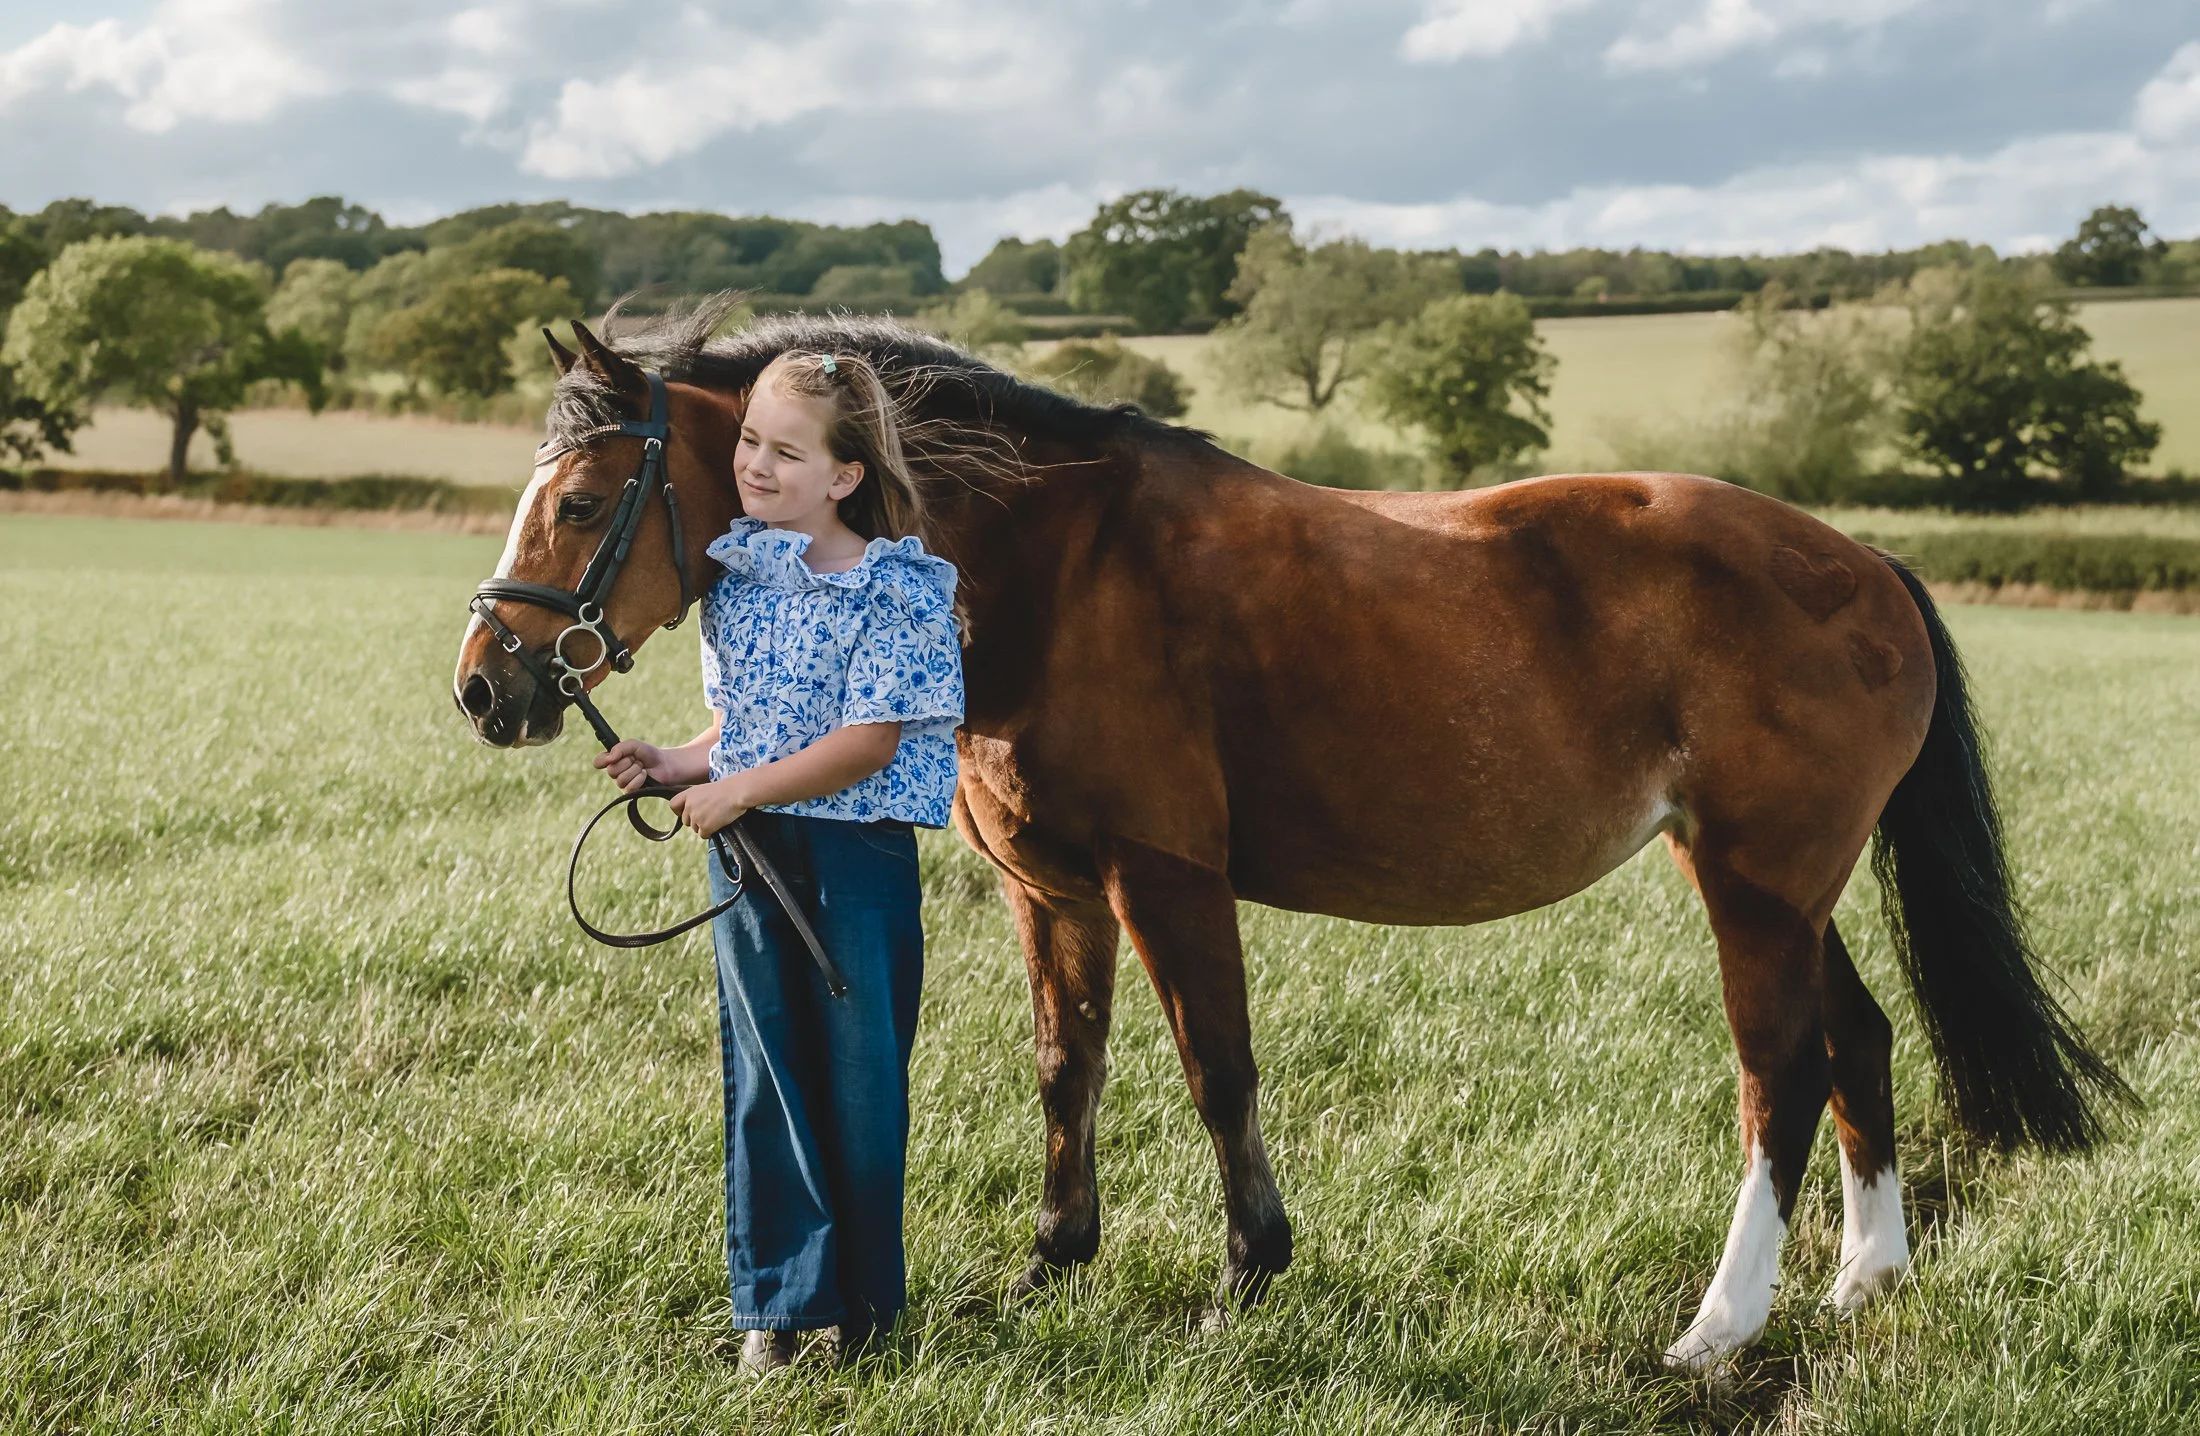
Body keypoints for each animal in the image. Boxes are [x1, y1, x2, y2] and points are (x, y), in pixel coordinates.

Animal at [451, 301, 2131, 1369]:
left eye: (587, 497)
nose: (487, 687)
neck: (1050, 569)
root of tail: (1866, 562)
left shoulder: (1164, 879)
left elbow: (1217, 1070)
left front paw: (1246, 1278)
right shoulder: (1050, 890)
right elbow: (1067, 1067)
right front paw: (1051, 1266)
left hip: (1755, 890)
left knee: (1778, 1074)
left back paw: (1720, 1329)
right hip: (1774, 881)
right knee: (1859, 1042)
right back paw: (1863, 1281)